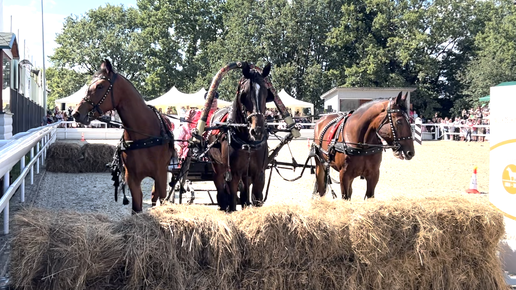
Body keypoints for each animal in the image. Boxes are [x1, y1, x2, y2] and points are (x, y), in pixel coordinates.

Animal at [72, 59, 175, 213]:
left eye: (100, 86)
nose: (76, 113)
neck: (143, 136)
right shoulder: (132, 178)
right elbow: (137, 208)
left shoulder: (161, 174)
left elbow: (163, 200)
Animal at [209, 62, 276, 212]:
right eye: (244, 95)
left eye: (266, 93)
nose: (257, 130)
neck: (247, 142)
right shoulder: (233, 174)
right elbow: (233, 200)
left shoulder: (258, 174)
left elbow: (256, 199)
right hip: (217, 167)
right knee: (221, 190)